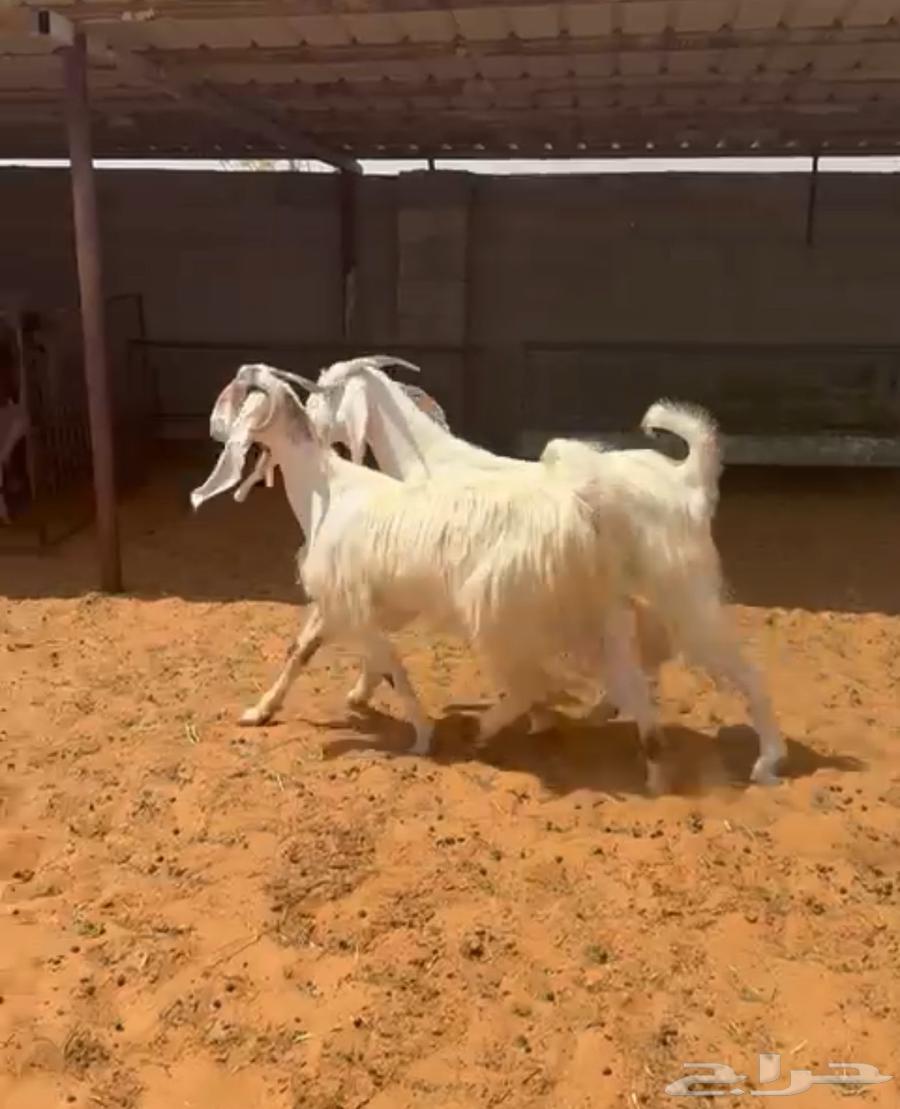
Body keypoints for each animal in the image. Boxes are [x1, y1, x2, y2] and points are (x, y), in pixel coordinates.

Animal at [191, 364, 664, 780]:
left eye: (238, 391)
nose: (213, 429)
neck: (326, 488)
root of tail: (580, 514)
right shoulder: (345, 603)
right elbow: (303, 651)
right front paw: (261, 710)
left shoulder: (351, 603)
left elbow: (394, 670)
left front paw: (422, 735)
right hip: (594, 613)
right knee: (623, 681)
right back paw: (646, 764)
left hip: (504, 616)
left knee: (538, 683)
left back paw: (492, 730)